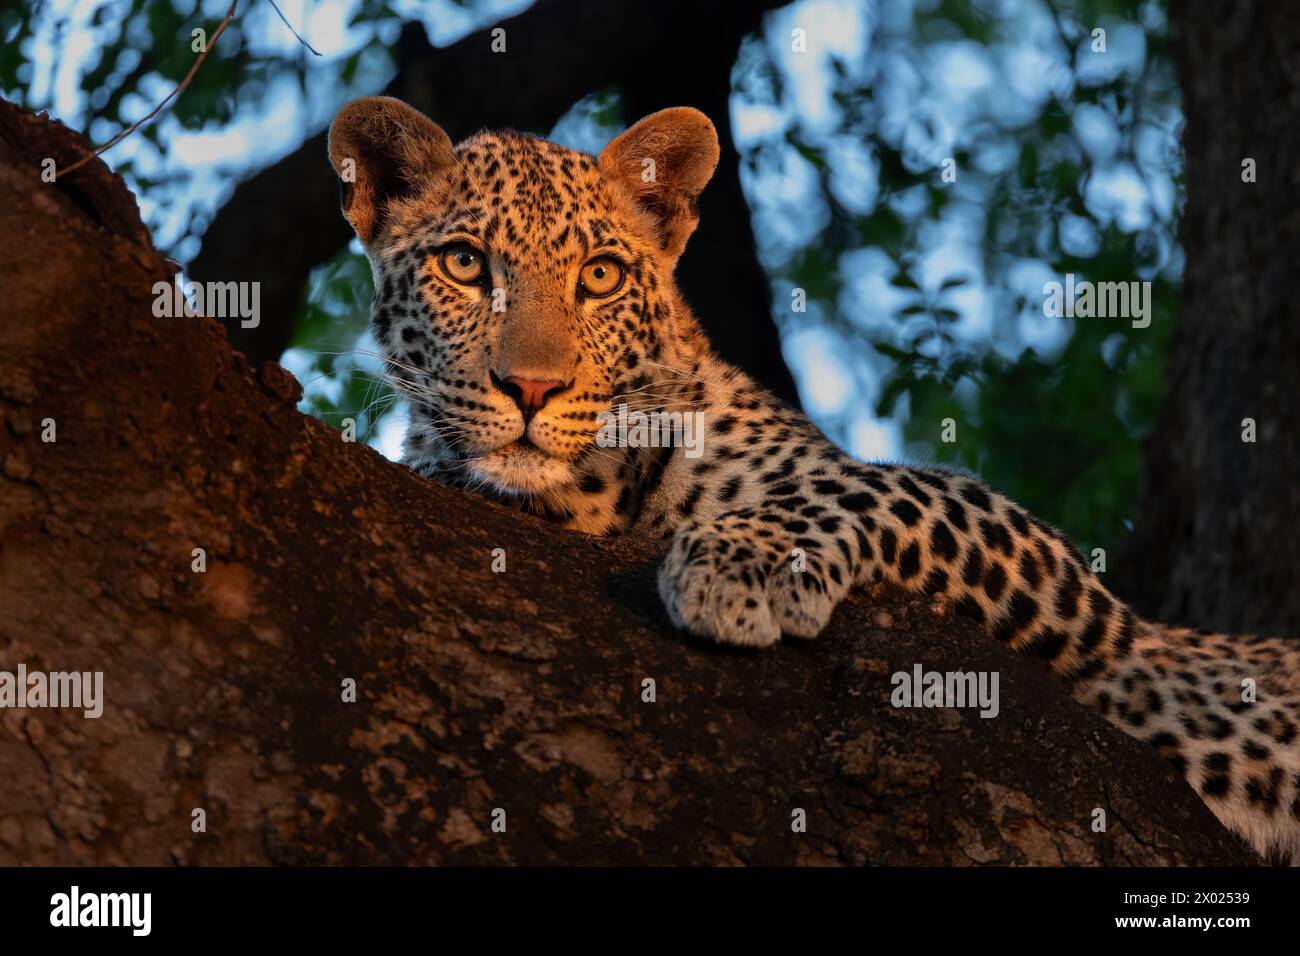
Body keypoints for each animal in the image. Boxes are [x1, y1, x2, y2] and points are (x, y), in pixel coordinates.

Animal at [327, 96, 1300, 865]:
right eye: (463, 264)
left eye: (599, 276)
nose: (531, 389)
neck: (599, 495)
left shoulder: (1078, 600)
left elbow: (870, 488)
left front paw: (737, 566)